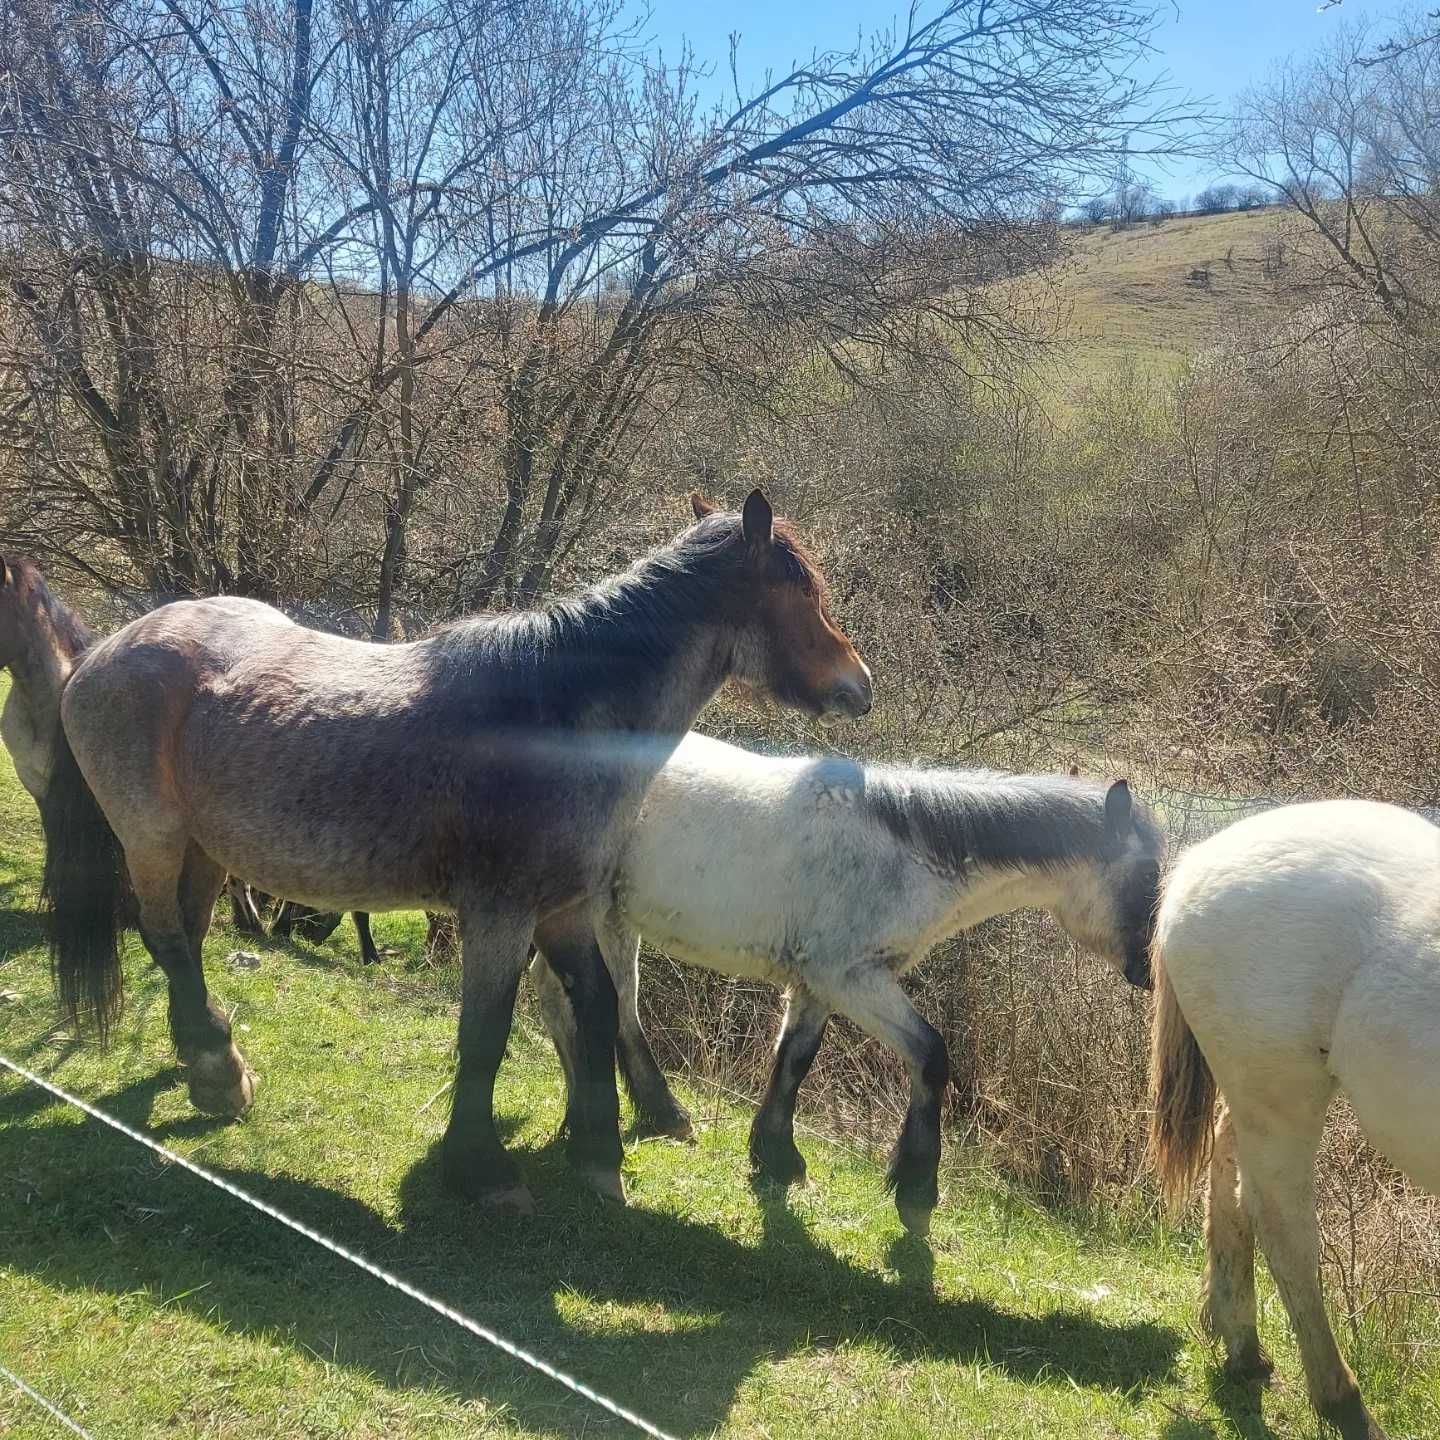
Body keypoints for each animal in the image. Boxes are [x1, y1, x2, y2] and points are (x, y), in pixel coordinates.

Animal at [45, 489, 869, 1209]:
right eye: (801, 593)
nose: (859, 685)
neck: (553, 720)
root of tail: (103, 651)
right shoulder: (500, 914)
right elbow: (487, 1033)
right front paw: (480, 1168)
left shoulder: (564, 909)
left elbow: (598, 1008)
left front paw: (598, 1154)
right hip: (152, 834)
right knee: (161, 932)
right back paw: (216, 1067)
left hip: (206, 849)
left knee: (183, 936)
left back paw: (206, 1061)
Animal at [535, 737, 1163, 1232]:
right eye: (1146, 878)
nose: (1149, 971)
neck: (907, 851)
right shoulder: (852, 977)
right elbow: (931, 1054)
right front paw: (915, 1188)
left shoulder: (819, 983)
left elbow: (795, 1058)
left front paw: (776, 1156)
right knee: (600, 1007)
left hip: (603, 916)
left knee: (574, 1004)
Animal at [1146, 800, 1440, 1440]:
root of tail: (1198, 863)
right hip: (1281, 1095)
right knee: (1283, 1229)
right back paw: (1342, 1402)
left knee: (1230, 1180)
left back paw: (1242, 1348)